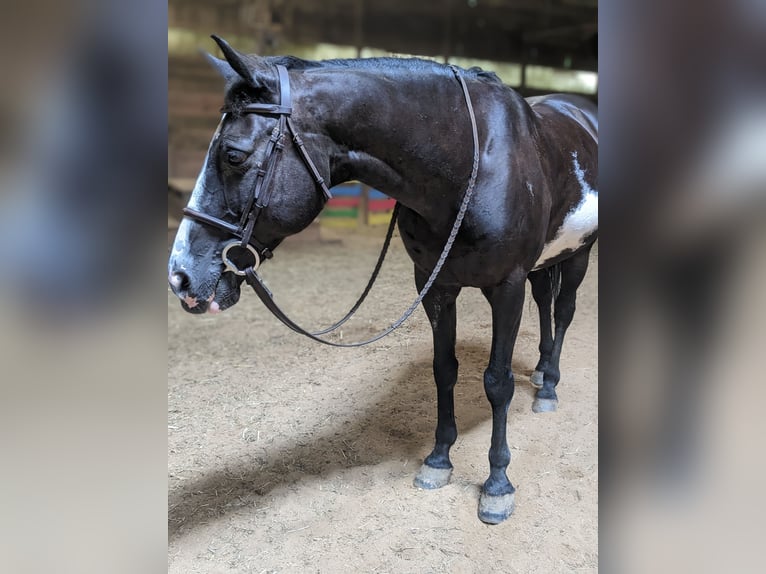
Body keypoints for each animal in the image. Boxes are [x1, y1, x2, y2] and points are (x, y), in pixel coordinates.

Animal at [168, 36, 597, 524]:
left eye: (233, 155)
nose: (181, 275)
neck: (469, 164)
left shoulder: (507, 287)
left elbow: (497, 382)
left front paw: (497, 485)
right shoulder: (435, 286)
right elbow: (444, 370)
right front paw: (438, 460)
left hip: (579, 254)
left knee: (562, 312)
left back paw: (549, 386)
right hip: (546, 261)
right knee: (546, 303)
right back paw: (542, 374)